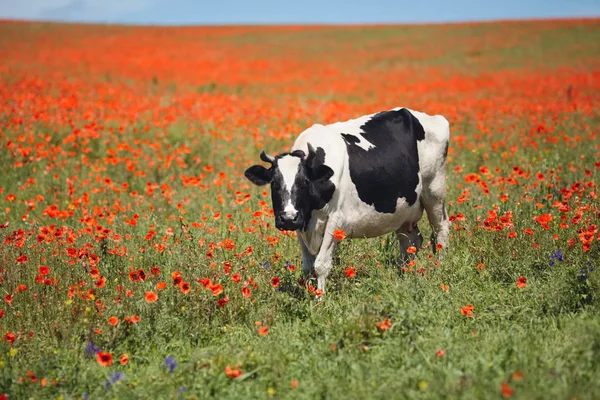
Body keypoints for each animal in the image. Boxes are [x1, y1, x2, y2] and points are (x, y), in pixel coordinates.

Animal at [245, 106, 450, 294]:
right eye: (273, 183)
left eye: (304, 182)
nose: (288, 218)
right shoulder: (301, 223)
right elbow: (307, 267)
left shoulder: (335, 221)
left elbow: (320, 265)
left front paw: (319, 301)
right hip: (403, 210)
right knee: (410, 242)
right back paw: (404, 276)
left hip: (434, 190)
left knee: (441, 229)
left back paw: (440, 268)